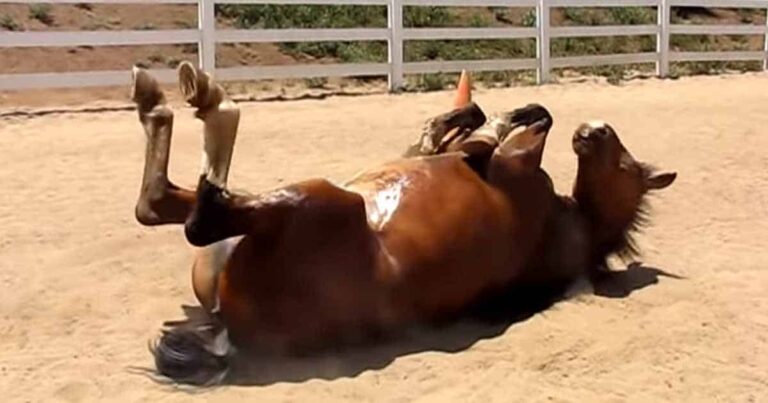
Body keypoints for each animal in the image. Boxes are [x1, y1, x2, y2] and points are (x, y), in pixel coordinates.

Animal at [129, 62, 676, 385]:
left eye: (627, 165)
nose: (595, 130)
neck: (570, 224)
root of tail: (229, 333)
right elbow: (452, 128)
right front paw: (490, 114)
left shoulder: (511, 164)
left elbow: (502, 130)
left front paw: (507, 118)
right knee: (170, 206)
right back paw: (164, 98)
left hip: (322, 199)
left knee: (193, 213)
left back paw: (202, 100)